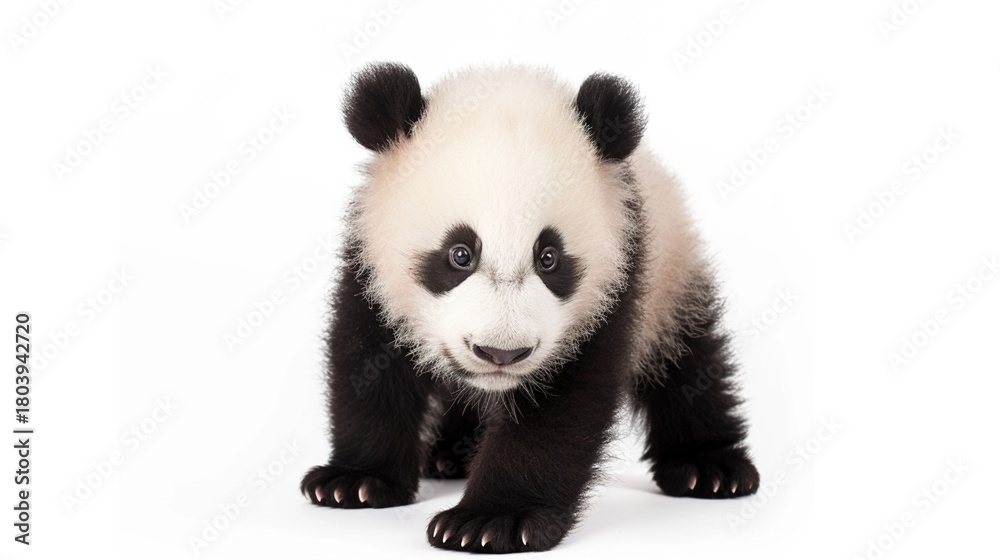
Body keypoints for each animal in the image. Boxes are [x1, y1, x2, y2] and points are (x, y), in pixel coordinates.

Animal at [301, 62, 759, 553]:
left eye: (549, 257)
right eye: (459, 254)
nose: (501, 354)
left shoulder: (614, 283)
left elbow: (559, 409)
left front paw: (490, 520)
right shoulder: (371, 265)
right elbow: (368, 363)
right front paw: (355, 481)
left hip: (672, 278)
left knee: (690, 365)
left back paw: (709, 468)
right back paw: (450, 455)